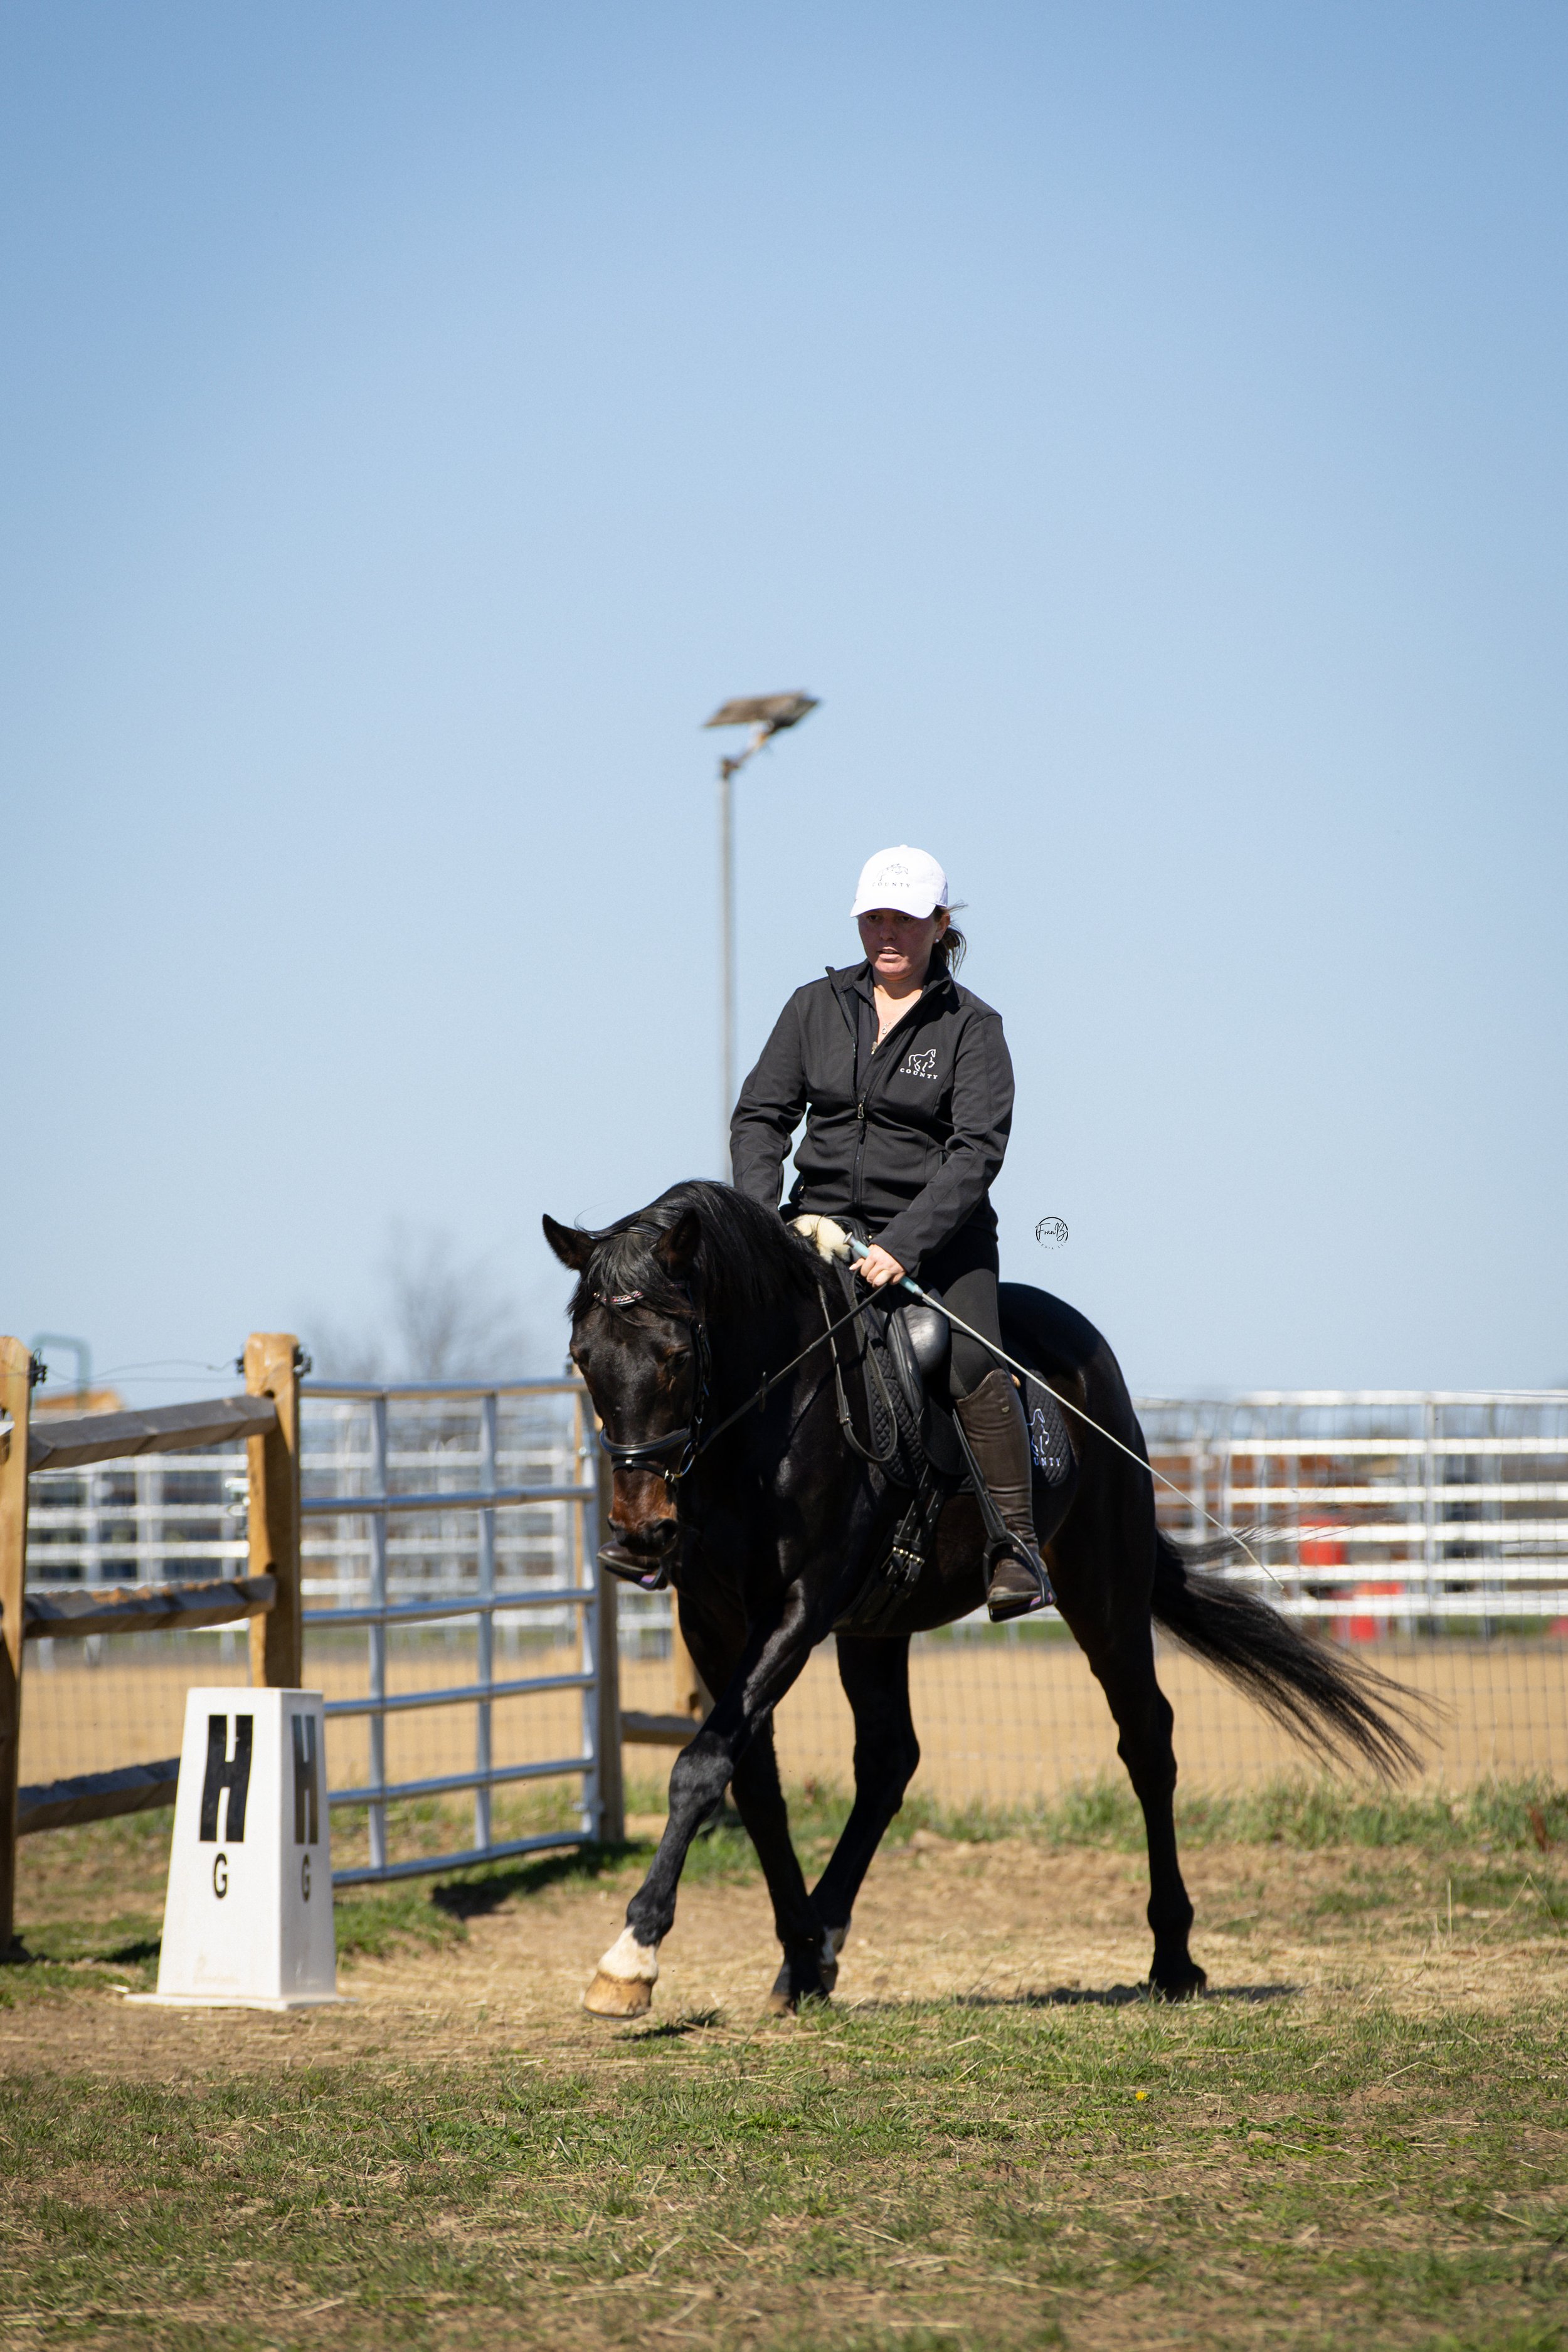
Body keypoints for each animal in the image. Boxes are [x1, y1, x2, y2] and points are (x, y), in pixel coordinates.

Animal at [544, 1180, 1417, 2016]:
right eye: (582, 1357)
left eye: (673, 1356)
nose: (640, 1534)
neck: (766, 1427)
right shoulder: (713, 1618)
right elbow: (749, 1778)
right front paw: (797, 1952)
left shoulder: (800, 1606)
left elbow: (701, 1765)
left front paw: (630, 1956)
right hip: (878, 1624)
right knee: (889, 1761)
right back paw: (818, 1947)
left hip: (1102, 1589)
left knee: (1146, 1741)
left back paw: (1173, 1959)